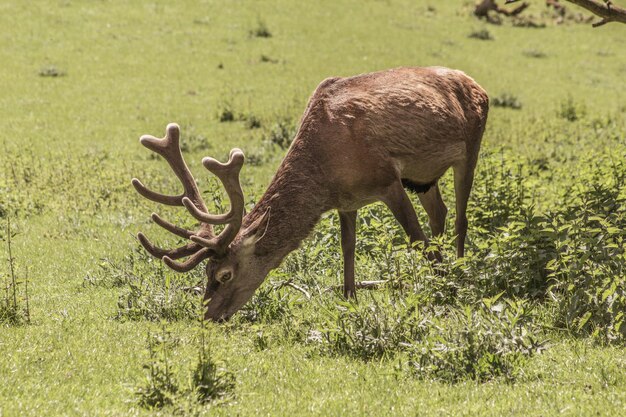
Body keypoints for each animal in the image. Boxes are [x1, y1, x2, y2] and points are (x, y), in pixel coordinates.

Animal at [132, 66, 488, 320]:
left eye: (224, 274)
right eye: (205, 272)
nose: (207, 315)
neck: (325, 172)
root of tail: (478, 85)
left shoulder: (387, 180)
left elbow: (416, 239)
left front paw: (443, 288)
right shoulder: (348, 200)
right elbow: (348, 247)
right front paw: (349, 299)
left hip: (470, 146)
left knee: (461, 218)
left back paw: (460, 270)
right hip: (422, 177)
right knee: (440, 212)